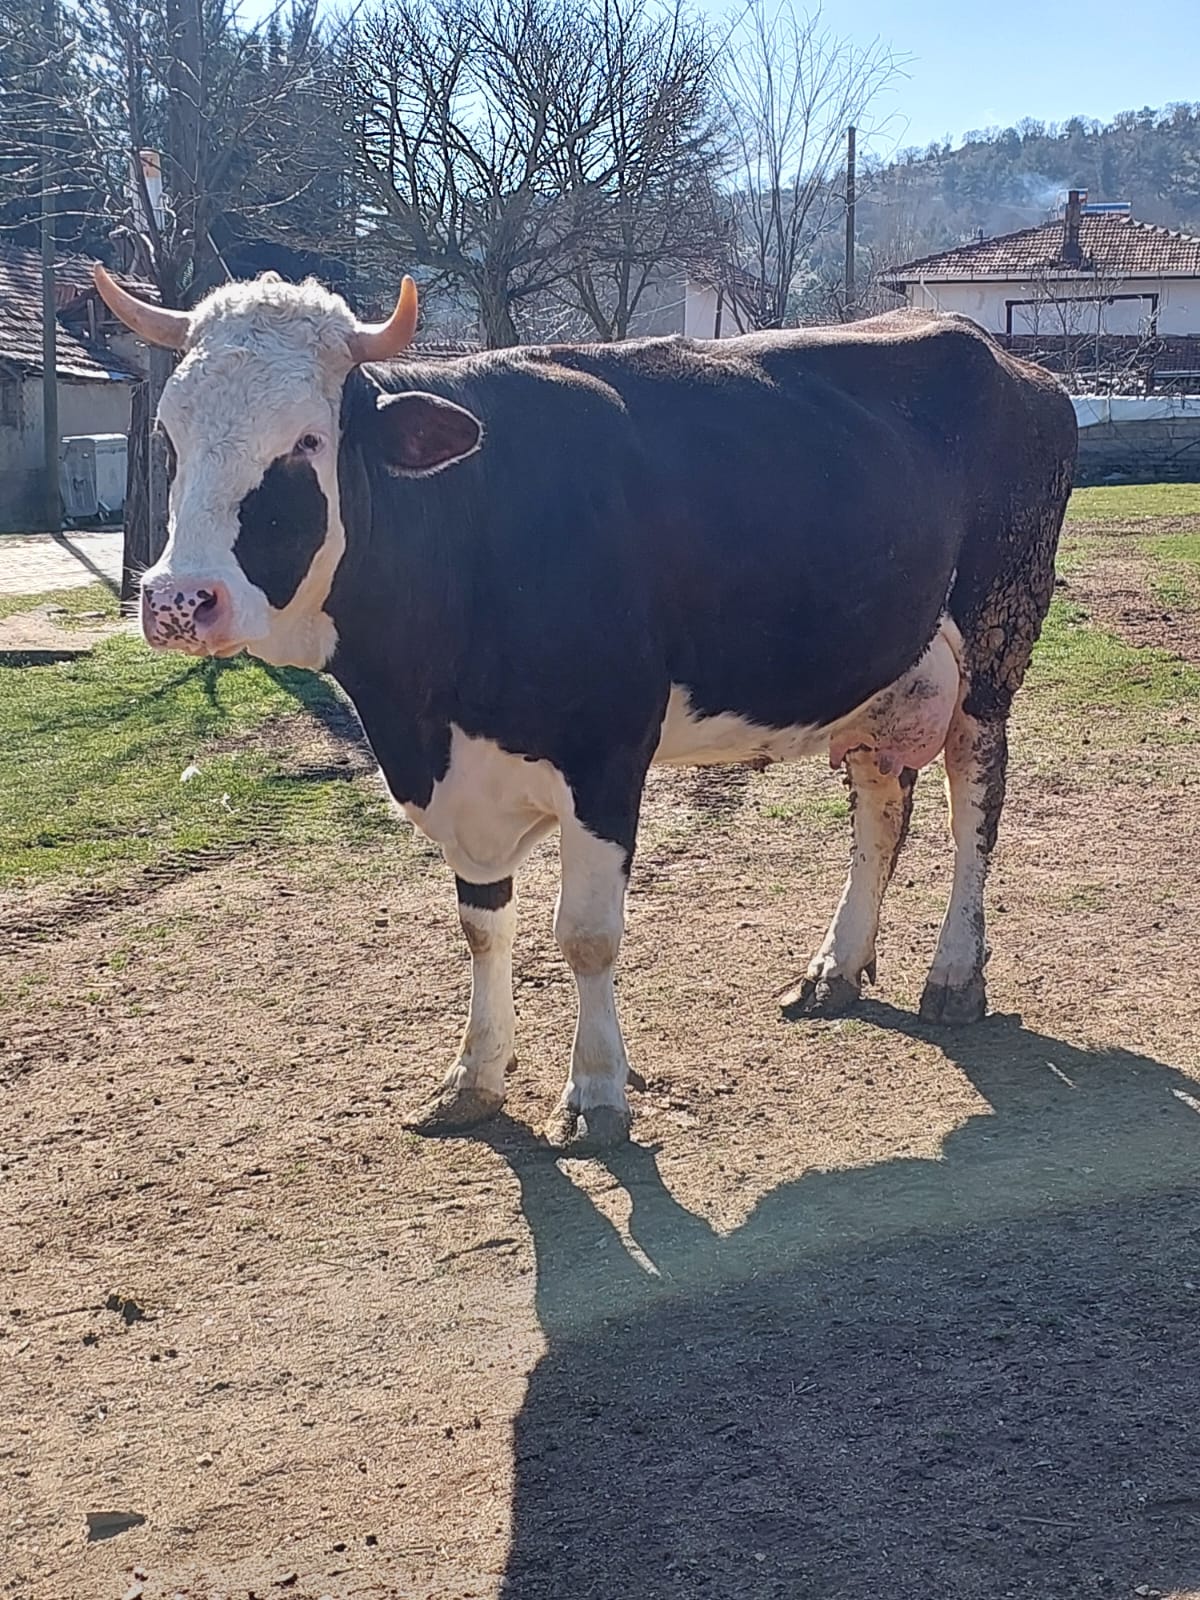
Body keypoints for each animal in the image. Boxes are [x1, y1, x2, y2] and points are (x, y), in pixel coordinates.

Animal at [96, 272, 1081, 1152]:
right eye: (170, 435)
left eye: (307, 439)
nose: (179, 601)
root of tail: (1005, 355)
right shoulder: (462, 783)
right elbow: (482, 929)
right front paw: (472, 1080)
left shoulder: (606, 756)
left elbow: (587, 937)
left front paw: (596, 1094)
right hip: (885, 668)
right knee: (883, 809)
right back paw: (836, 967)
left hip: (996, 642)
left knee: (974, 808)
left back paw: (954, 974)